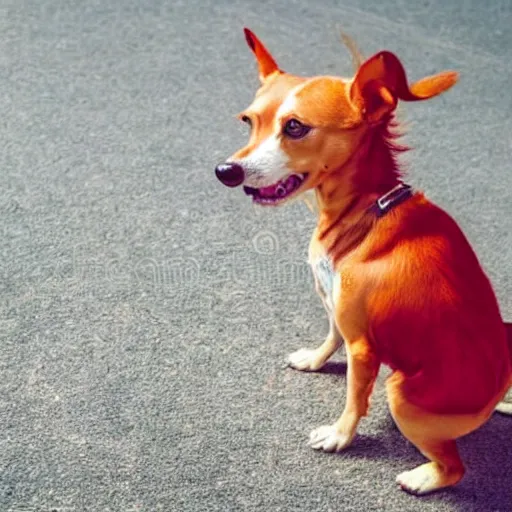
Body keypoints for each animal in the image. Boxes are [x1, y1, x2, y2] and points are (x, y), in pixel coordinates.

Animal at [213, 29, 512, 496]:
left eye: (295, 127)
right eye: (248, 121)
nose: (226, 171)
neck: (367, 211)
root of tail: (496, 386)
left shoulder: (364, 348)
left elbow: (354, 398)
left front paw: (340, 436)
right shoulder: (336, 311)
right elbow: (329, 337)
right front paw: (314, 360)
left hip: (401, 394)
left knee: (454, 467)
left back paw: (423, 478)